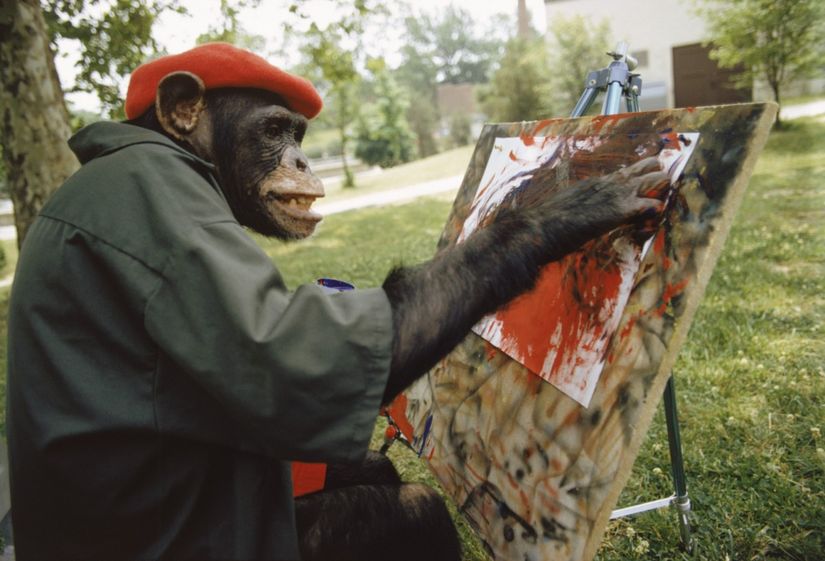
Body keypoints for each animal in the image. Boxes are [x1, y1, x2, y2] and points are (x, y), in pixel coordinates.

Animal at [3, 42, 668, 560]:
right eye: (274, 130)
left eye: (297, 134)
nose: (301, 157)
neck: (179, 155)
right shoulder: (176, 229)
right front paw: (565, 211)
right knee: (414, 506)